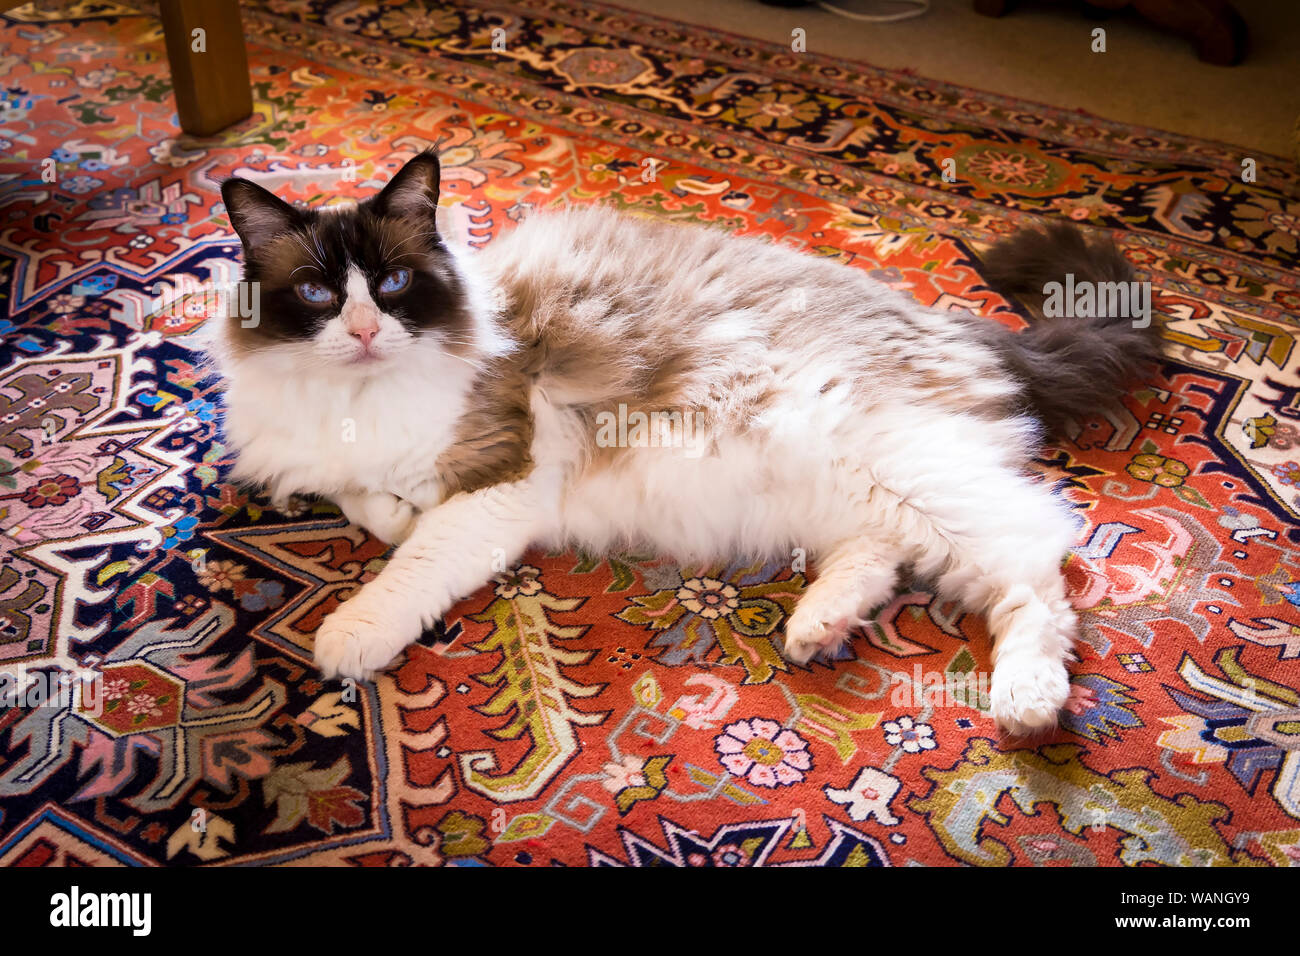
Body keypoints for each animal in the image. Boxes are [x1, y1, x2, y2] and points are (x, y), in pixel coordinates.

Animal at [213, 149, 1159, 738]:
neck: (357, 402)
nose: (367, 332)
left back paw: (1026, 701)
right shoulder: (337, 467)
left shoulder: (504, 477)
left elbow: (410, 564)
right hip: (855, 489)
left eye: (396, 284)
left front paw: (349, 632)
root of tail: (958, 322)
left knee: (1041, 569)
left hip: (899, 470)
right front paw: (392, 508)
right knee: (881, 555)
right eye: (317, 294)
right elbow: (369, 507)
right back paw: (818, 626)